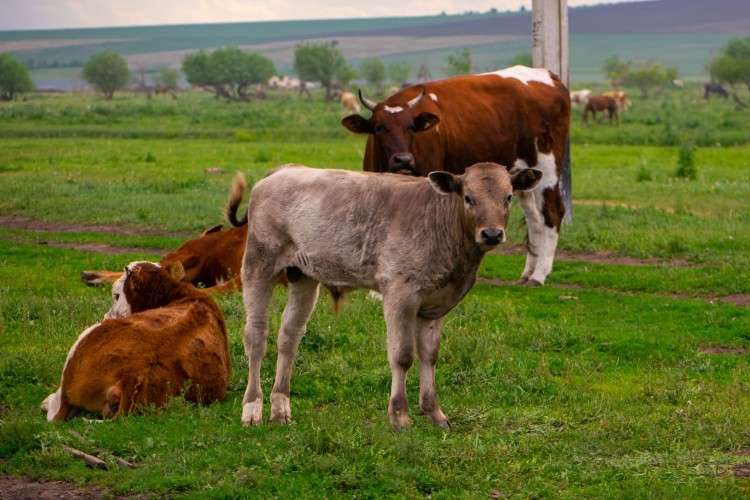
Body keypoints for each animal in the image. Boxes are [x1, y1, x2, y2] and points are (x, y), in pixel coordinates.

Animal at [42, 261, 231, 421]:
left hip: (84, 339)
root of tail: (131, 374)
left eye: (116, 295)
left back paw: (46, 403)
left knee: (56, 409)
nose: (106, 317)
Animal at [238, 162, 543, 429]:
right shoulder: (400, 293)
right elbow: (403, 355)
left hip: (303, 276)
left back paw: (281, 409)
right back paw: (253, 409)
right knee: (256, 336)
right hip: (257, 263)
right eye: (468, 197)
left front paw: (434, 412)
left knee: (289, 336)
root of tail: (283, 170)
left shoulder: (435, 305)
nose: (492, 234)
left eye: (508, 197)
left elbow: (430, 355)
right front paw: (399, 416)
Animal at [340, 65, 570, 286]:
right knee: (534, 219)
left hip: (547, 168)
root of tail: (548, 76)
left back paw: (539, 275)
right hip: (524, 177)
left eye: (411, 127)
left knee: (552, 213)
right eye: (380, 127)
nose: (403, 160)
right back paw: (528, 273)